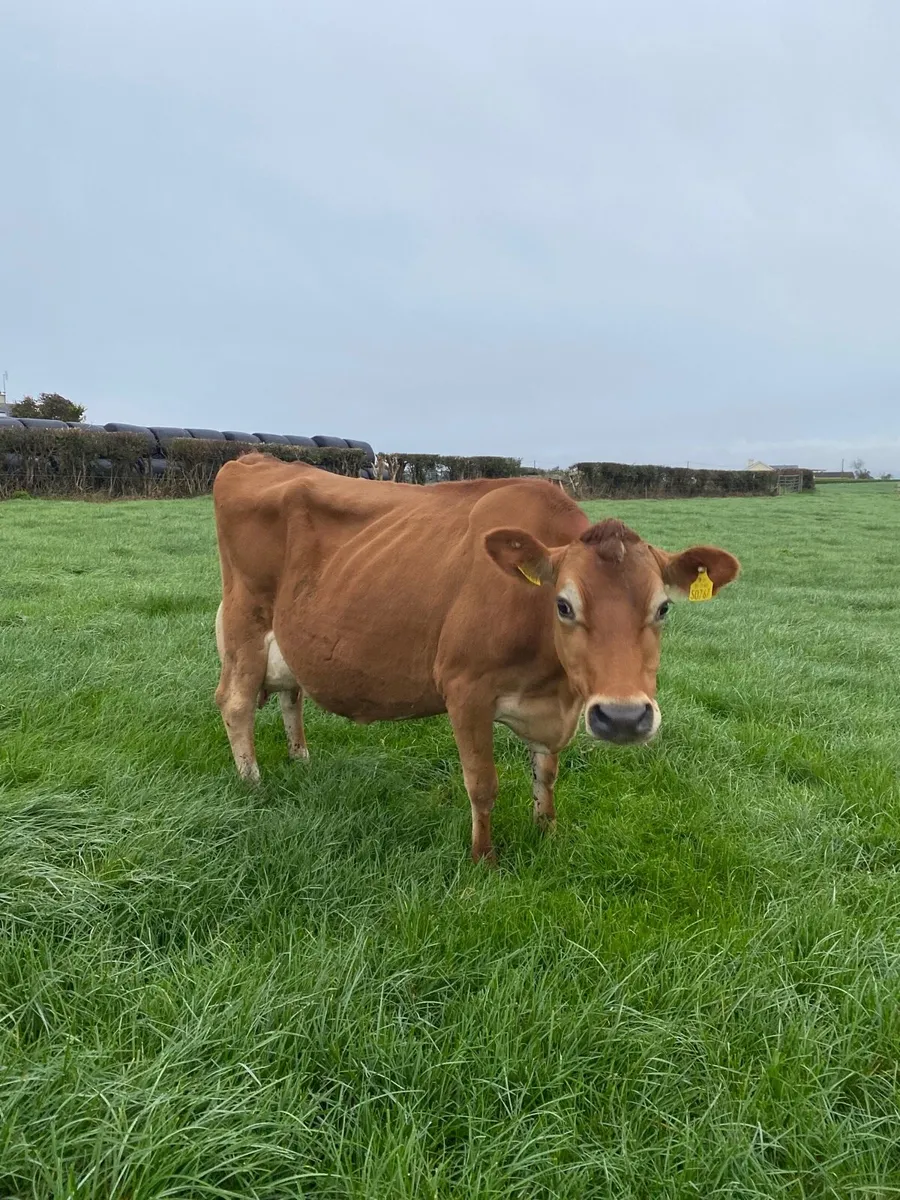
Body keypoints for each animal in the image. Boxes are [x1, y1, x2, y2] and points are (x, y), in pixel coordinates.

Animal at [213, 454, 740, 862]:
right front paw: (483, 859)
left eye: (663, 607)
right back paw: (253, 783)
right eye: (563, 605)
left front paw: (546, 832)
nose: (624, 718)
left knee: (290, 693)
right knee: (235, 702)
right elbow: (483, 784)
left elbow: (547, 775)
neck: (553, 685)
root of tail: (256, 458)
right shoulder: (464, 688)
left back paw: (301, 759)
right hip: (245, 620)